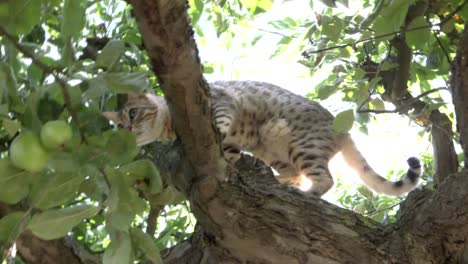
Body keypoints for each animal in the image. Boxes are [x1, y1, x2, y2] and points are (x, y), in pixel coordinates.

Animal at [102, 80, 420, 198]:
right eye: (118, 126)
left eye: (132, 114)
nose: (127, 132)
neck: (169, 124)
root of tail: (342, 130)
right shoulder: (233, 144)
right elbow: (229, 153)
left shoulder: (221, 101)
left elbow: (220, 124)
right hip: (275, 151)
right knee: (295, 174)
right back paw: (276, 180)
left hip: (301, 146)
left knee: (325, 180)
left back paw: (307, 193)